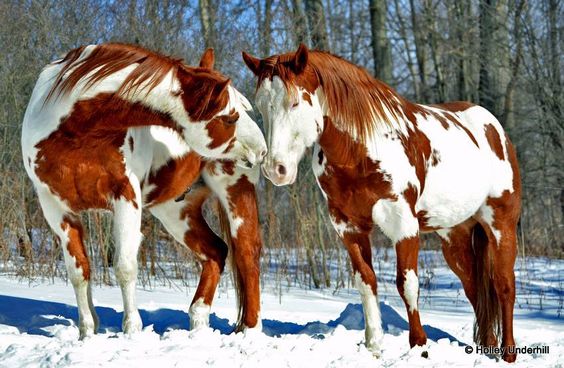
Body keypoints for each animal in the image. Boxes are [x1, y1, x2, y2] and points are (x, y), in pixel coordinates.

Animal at [21, 43, 266, 340]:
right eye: (230, 118)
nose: (262, 150)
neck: (74, 133)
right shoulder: (56, 209)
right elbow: (79, 272)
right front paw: (87, 333)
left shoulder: (126, 197)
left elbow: (125, 267)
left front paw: (132, 331)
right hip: (176, 210)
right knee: (215, 252)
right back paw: (197, 323)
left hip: (235, 191)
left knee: (247, 253)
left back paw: (250, 330)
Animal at [245, 43, 524, 362]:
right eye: (261, 106)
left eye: (294, 103)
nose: (275, 169)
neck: (360, 151)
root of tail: (494, 128)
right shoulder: (349, 227)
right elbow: (366, 281)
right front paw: (374, 345)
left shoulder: (403, 224)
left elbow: (407, 284)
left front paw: (420, 347)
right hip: (456, 238)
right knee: (476, 289)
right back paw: (486, 349)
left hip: (501, 225)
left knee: (504, 285)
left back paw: (508, 353)